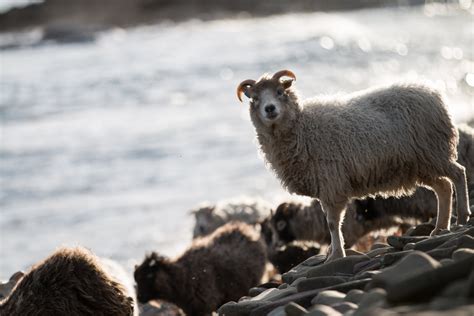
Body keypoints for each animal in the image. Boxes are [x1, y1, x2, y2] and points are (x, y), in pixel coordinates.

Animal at [133, 222, 266, 316]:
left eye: (150, 275)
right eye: (136, 279)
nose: (139, 298)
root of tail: (243, 226)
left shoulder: (204, 305)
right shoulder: (190, 309)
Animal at [237, 69, 470, 262]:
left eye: (279, 92)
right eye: (255, 99)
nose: (269, 109)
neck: (302, 127)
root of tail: (430, 91)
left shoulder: (331, 183)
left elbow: (332, 223)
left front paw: (336, 255)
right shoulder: (325, 185)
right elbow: (331, 224)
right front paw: (332, 254)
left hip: (433, 151)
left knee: (458, 174)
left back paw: (462, 216)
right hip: (421, 163)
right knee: (443, 187)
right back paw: (440, 228)